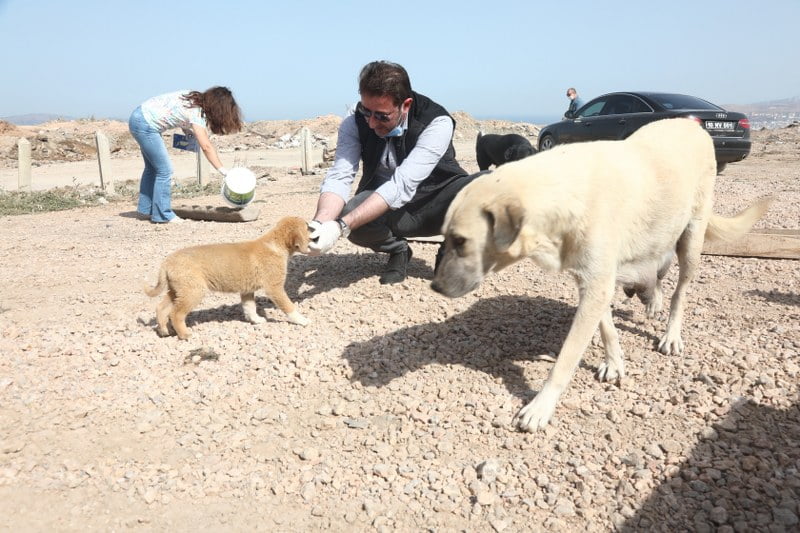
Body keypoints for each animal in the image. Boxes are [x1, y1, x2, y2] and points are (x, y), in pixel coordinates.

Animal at [144, 215, 310, 336]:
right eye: (308, 228)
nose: (313, 237)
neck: (275, 244)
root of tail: (167, 262)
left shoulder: (247, 290)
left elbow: (250, 307)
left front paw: (256, 320)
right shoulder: (274, 288)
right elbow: (289, 306)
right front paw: (302, 320)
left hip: (178, 291)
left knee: (161, 308)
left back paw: (164, 331)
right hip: (193, 291)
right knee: (176, 314)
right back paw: (185, 334)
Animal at [428, 118, 772, 430]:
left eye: (460, 241)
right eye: (445, 236)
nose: (435, 286)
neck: (565, 194)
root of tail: (693, 124)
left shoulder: (596, 285)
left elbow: (566, 358)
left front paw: (540, 407)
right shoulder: (592, 281)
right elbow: (607, 327)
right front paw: (615, 363)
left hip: (691, 239)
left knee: (681, 291)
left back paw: (671, 333)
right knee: (658, 270)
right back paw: (652, 299)